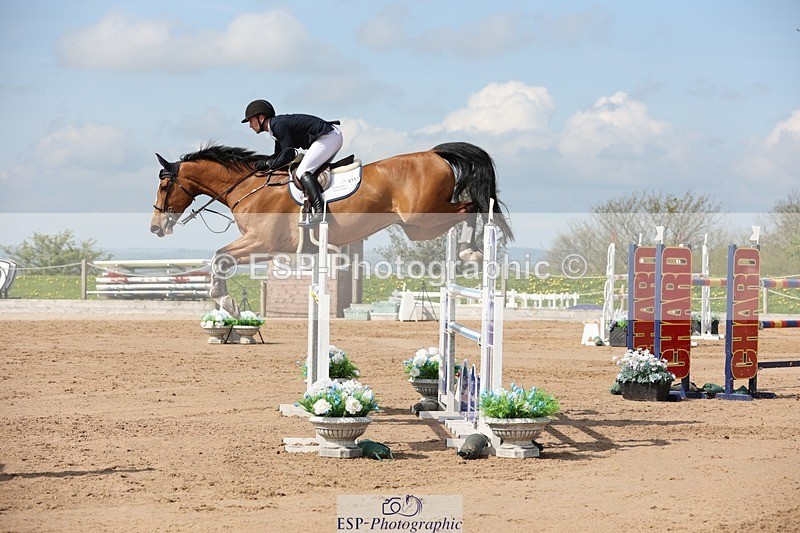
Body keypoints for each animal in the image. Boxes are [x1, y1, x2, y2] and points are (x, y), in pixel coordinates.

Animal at [150, 142, 514, 312]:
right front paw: (224, 300)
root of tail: (434, 153)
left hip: (421, 219)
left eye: (164, 186)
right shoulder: (265, 248)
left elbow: (219, 257)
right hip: (420, 225)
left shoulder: (262, 243)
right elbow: (221, 258)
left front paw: (222, 299)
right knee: (468, 208)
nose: (155, 227)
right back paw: (472, 251)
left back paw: (470, 251)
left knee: (473, 206)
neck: (248, 185)